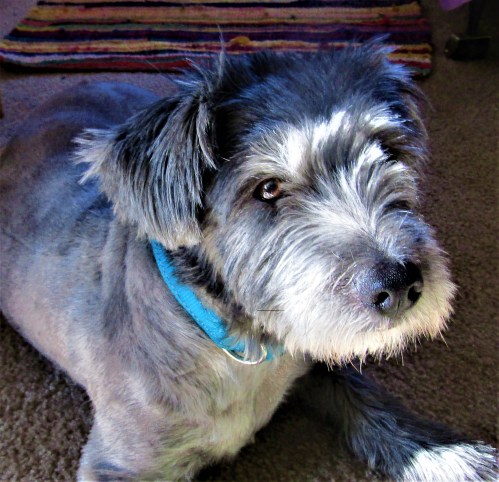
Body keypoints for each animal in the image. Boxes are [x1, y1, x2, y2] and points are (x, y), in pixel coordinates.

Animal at [0, 44, 496, 481]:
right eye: (268, 189)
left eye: (388, 152)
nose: (400, 285)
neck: (241, 343)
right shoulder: (119, 465)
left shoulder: (313, 357)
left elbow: (371, 402)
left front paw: (460, 459)